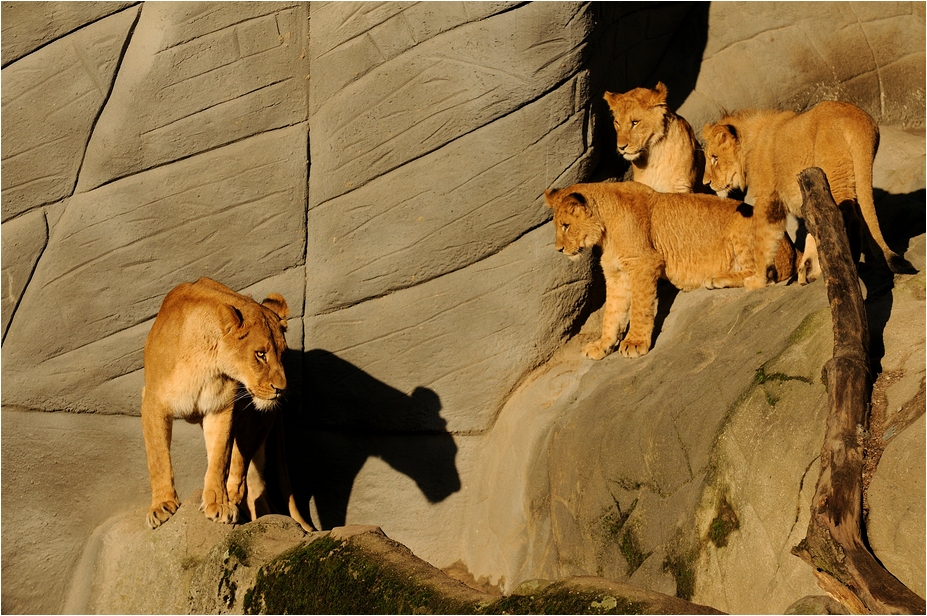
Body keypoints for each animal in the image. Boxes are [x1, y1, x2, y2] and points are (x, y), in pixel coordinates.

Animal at [141, 277, 313, 532]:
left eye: (283, 355)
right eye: (260, 354)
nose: (281, 389)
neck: (205, 360)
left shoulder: (221, 407)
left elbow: (220, 458)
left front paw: (218, 505)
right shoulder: (153, 401)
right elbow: (158, 457)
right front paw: (162, 506)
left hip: (251, 424)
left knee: (246, 478)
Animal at [546, 181, 795, 360]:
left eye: (566, 226)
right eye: (559, 226)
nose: (558, 249)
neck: (605, 232)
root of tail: (793, 249)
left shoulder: (644, 263)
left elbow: (640, 307)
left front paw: (635, 343)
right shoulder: (616, 274)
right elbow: (611, 314)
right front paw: (602, 345)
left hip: (742, 227)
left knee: (763, 275)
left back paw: (717, 278)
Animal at [702, 100, 916, 288]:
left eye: (714, 158)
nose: (706, 183)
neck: (750, 145)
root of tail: (858, 121)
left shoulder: (768, 200)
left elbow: (763, 242)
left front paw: (758, 281)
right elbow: (812, 229)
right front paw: (810, 267)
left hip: (834, 173)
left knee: (847, 218)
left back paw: (851, 263)